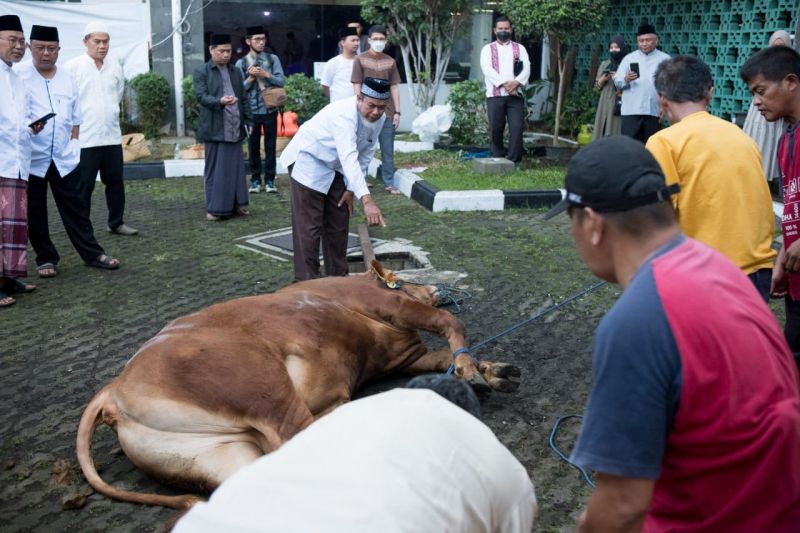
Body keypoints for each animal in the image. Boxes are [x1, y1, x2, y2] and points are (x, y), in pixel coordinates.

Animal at [78, 260, 520, 508]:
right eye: (407, 278)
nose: (438, 287)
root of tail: (112, 391)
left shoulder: (404, 357)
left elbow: (444, 355)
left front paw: (490, 371)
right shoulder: (389, 305)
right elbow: (449, 322)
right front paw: (470, 370)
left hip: (218, 454)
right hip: (260, 384)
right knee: (297, 437)